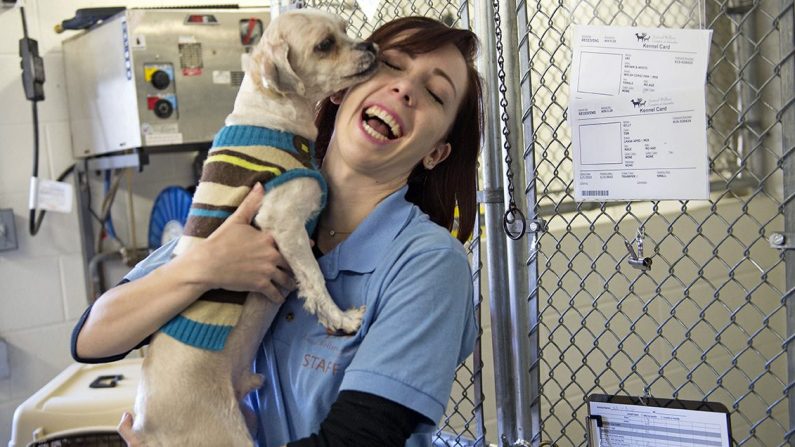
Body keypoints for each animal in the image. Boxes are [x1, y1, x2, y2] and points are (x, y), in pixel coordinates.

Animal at [131, 10, 380, 447]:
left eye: (345, 30)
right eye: (324, 45)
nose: (370, 45)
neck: (272, 118)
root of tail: (145, 425)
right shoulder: (282, 222)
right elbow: (315, 280)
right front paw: (341, 319)